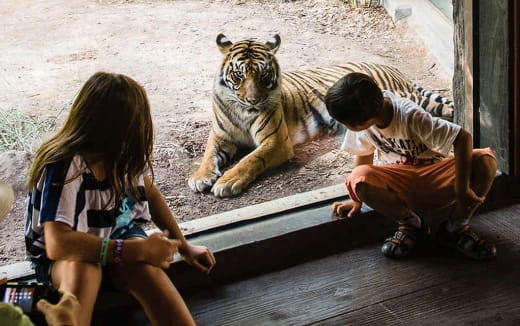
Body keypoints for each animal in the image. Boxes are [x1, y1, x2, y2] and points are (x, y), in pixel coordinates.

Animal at [188, 33, 456, 196]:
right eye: (239, 75)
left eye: (264, 75)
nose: (253, 100)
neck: (242, 110)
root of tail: (392, 67)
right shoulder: (221, 136)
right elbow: (208, 155)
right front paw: (200, 177)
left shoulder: (276, 141)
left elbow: (251, 159)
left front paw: (227, 181)